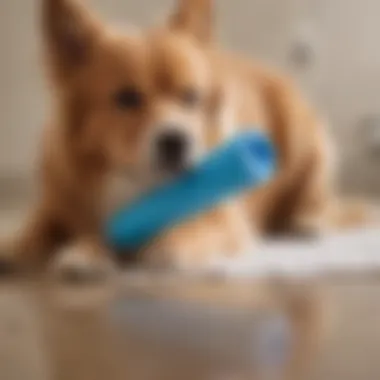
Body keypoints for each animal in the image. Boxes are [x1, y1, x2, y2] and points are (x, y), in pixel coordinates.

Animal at [0, 0, 338, 280]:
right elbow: (41, 226)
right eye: (126, 98)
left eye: (190, 96)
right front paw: (27, 246)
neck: (141, 187)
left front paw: (165, 244)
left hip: (303, 140)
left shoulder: (225, 220)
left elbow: (189, 229)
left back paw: (308, 222)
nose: (176, 141)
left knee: (312, 196)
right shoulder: (58, 202)